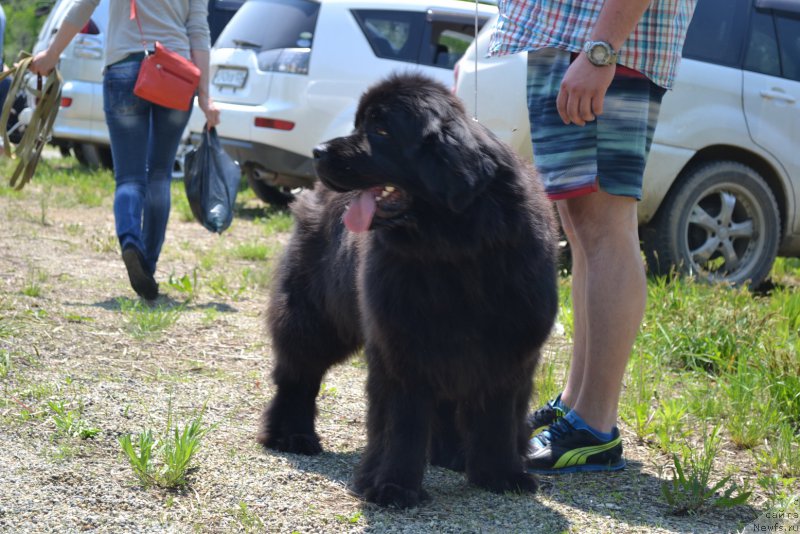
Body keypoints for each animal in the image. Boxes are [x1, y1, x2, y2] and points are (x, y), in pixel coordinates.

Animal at [260, 73, 560, 508]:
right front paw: (392, 486)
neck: (455, 250)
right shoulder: (399, 346)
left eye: (381, 131)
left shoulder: (507, 351)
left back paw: (451, 455)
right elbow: (400, 422)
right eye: (359, 123)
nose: (318, 151)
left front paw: (501, 474)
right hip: (316, 316)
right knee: (298, 374)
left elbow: (498, 417)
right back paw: (291, 436)